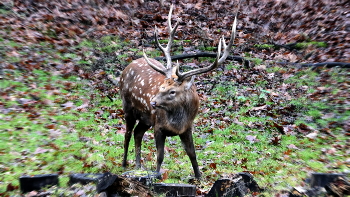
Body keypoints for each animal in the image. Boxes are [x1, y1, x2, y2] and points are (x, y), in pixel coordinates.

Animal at [119, 4, 237, 179]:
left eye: (172, 91)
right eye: (161, 86)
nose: (153, 102)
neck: (176, 123)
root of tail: (126, 68)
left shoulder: (187, 127)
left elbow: (192, 153)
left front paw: (199, 176)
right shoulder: (158, 126)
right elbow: (160, 155)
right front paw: (157, 174)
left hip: (146, 119)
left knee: (137, 133)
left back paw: (139, 166)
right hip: (128, 107)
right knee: (127, 134)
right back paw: (124, 163)